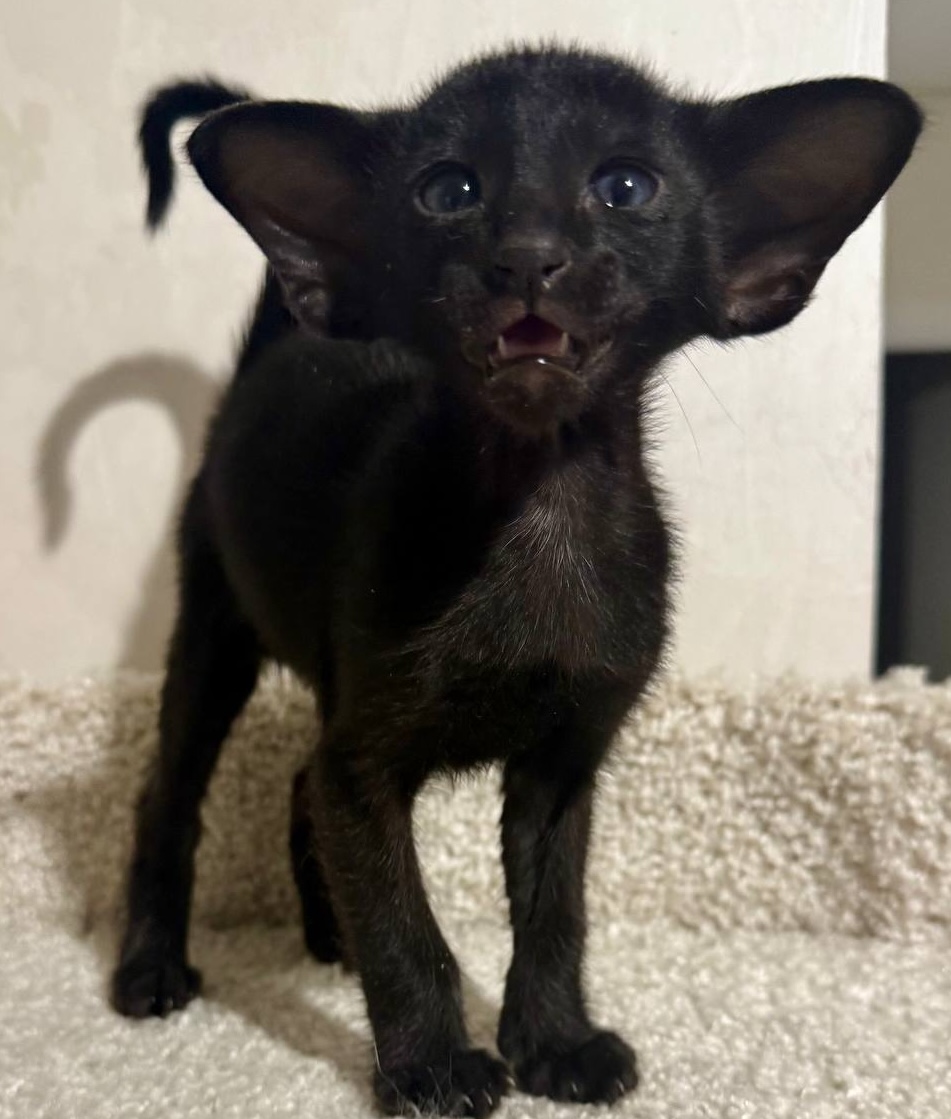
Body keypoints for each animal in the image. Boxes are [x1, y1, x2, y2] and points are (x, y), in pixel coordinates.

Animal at [112, 46, 920, 1117]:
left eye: (626, 187)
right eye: (447, 191)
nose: (528, 256)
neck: (540, 510)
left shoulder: (562, 762)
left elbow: (551, 914)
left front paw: (555, 1044)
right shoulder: (366, 762)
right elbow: (406, 926)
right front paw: (431, 1066)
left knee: (295, 782)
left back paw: (327, 938)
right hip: (214, 625)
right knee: (169, 792)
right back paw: (152, 965)